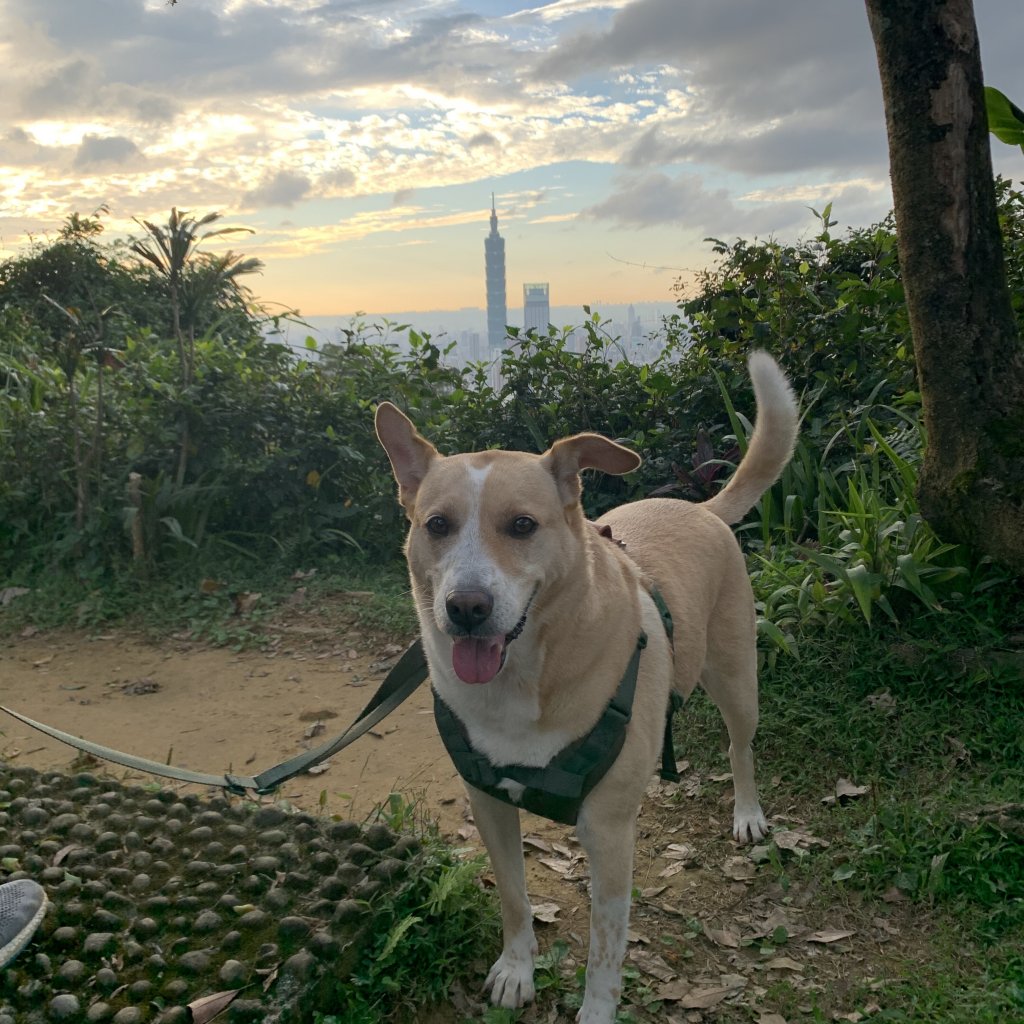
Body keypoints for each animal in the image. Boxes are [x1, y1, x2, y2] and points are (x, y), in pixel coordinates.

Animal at [376, 350, 798, 1015]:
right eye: (436, 524)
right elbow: (514, 897)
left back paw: (748, 812)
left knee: (740, 745)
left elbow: (605, 949)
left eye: (523, 525)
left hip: (736, 679)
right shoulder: (489, 803)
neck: (525, 678)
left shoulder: (608, 833)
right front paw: (517, 969)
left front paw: (597, 1012)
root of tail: (698, 507)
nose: (465, 608)